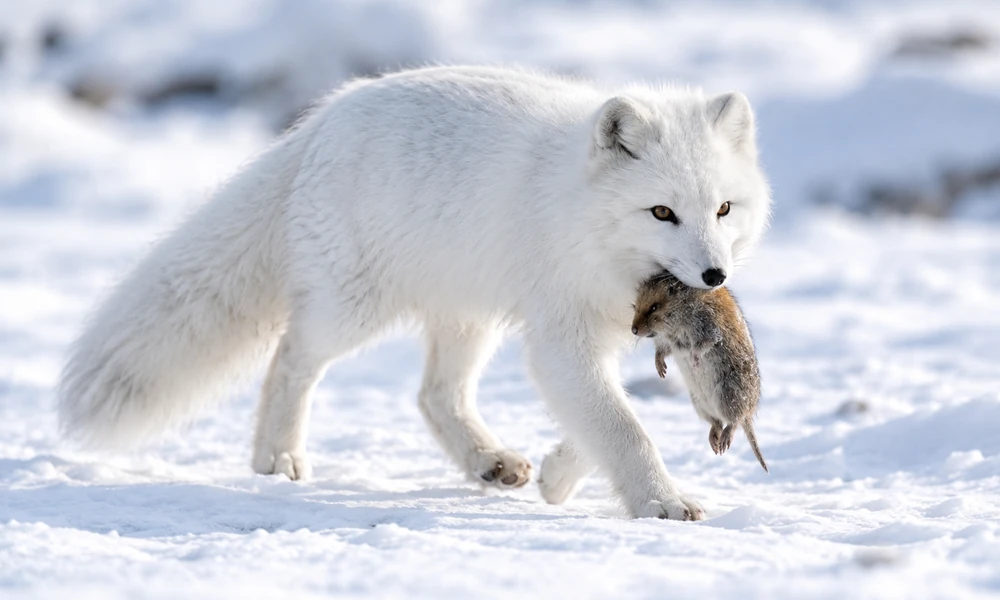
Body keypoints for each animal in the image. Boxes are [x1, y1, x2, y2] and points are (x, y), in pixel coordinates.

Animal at [58, 66, 771, 520]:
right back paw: (277, 458)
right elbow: (625, 428)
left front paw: (558, 476)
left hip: (467, 315)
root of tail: (321, 121)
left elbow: (603, 422)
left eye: (723, 209)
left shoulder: (606, 334)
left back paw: (489, 462)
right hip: (353, 311)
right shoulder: (561, 340)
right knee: (290, 358)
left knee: (433, 395)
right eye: (661, 213)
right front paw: (662, 502)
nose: (715, 278)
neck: (578, 214)